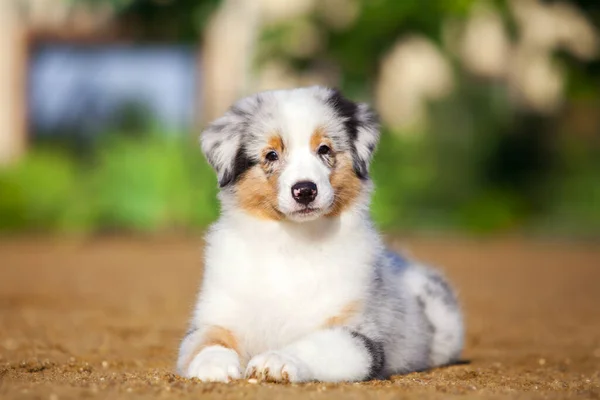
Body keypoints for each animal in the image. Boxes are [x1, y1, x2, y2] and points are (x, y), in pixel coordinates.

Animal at [175, 86, 464, 382]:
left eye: (324, 149)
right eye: (271, 155)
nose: (305, 190)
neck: (292, 243)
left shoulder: (359, 336)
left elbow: (313, 345)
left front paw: (277, 360)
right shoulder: (217, 316)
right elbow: (205, 340)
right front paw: (212, 365)